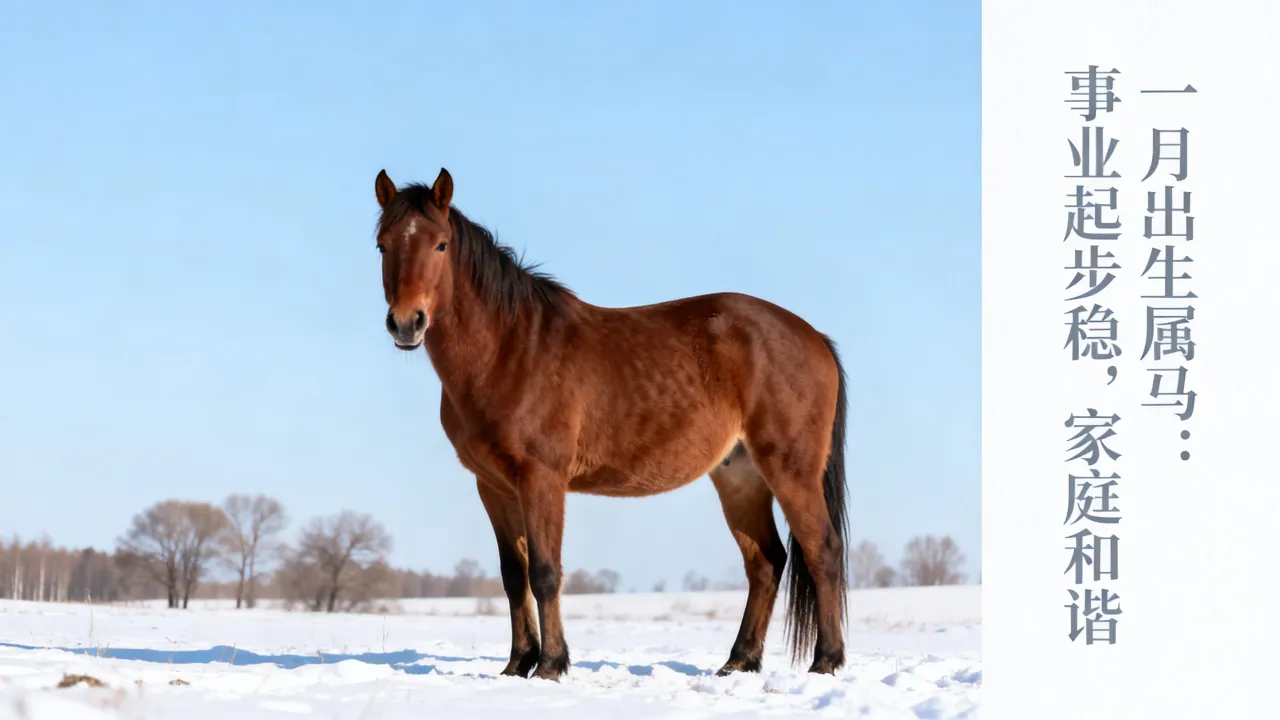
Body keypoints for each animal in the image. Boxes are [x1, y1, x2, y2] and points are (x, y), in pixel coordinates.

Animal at [371, 167, 849, 681]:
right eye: (382, 245)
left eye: (440, 244)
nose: (407, 323)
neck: (509, 348)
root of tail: (813, 336)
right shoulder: (493, 486)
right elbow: (513, 576)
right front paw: (517, 664)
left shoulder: (542, 478)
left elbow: (545, 572)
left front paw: (551, 665)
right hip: (739, 476)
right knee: (766, 562)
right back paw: (739, 661)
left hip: (790, 469)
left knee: (822, 550)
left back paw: (825, 661)